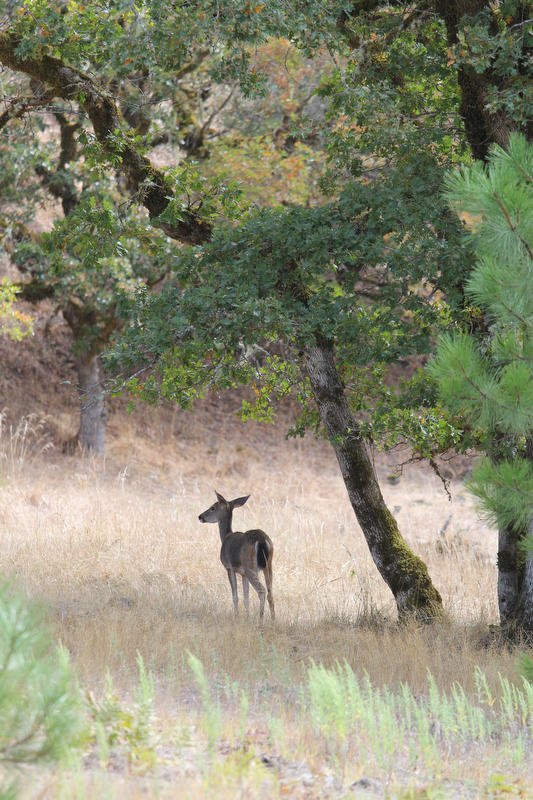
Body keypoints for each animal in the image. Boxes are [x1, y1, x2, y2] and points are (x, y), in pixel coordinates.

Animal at [198, 491, 275, 622]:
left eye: (213, 507)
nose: (200, 516)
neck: (226, 536)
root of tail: (262, 540)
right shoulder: (243, 574)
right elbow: (246, 598)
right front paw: (247, 617)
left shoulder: (229, 567)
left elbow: (235, 596)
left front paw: (237, 617)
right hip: (268, 565)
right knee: (271, 593)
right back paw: (273, 620)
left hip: (250, 566)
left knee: (261, 591)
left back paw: (260, 620)